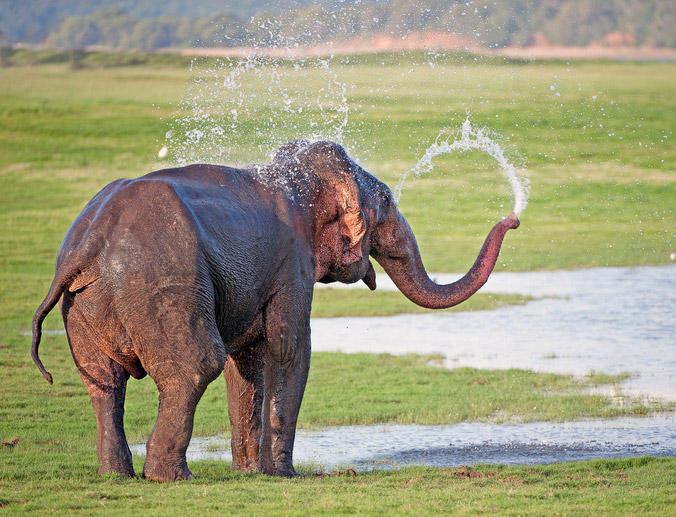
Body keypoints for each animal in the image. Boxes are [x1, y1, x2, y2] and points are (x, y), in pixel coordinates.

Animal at [30, 140, 516, 480]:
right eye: (389, 202)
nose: (513, 218)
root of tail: (87, 244)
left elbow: (248, 360)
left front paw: (249, 474)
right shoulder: (291, 264)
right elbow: (289, 350)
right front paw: (284, 476)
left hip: (86, 303)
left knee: (104, 383)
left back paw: (118, 476)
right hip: (161, 286)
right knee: (197, 364)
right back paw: (172, 477)